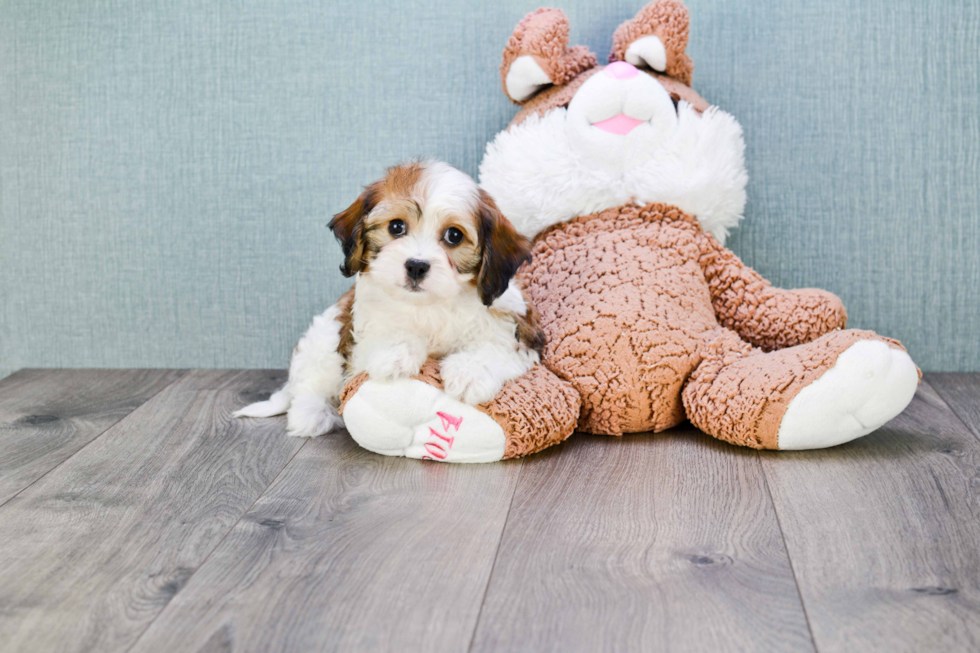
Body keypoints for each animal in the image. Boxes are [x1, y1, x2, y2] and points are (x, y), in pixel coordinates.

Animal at [234, 160, 548, 436]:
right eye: (396, 227)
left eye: (454, 236)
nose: (416, 266)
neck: (430, 306)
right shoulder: (359, 342)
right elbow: (386, 336)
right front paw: (396, 355)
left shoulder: (519, 331)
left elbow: (495, 347)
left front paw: (469, 373)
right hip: (323, 343)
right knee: (309, 386)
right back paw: (312, 415)